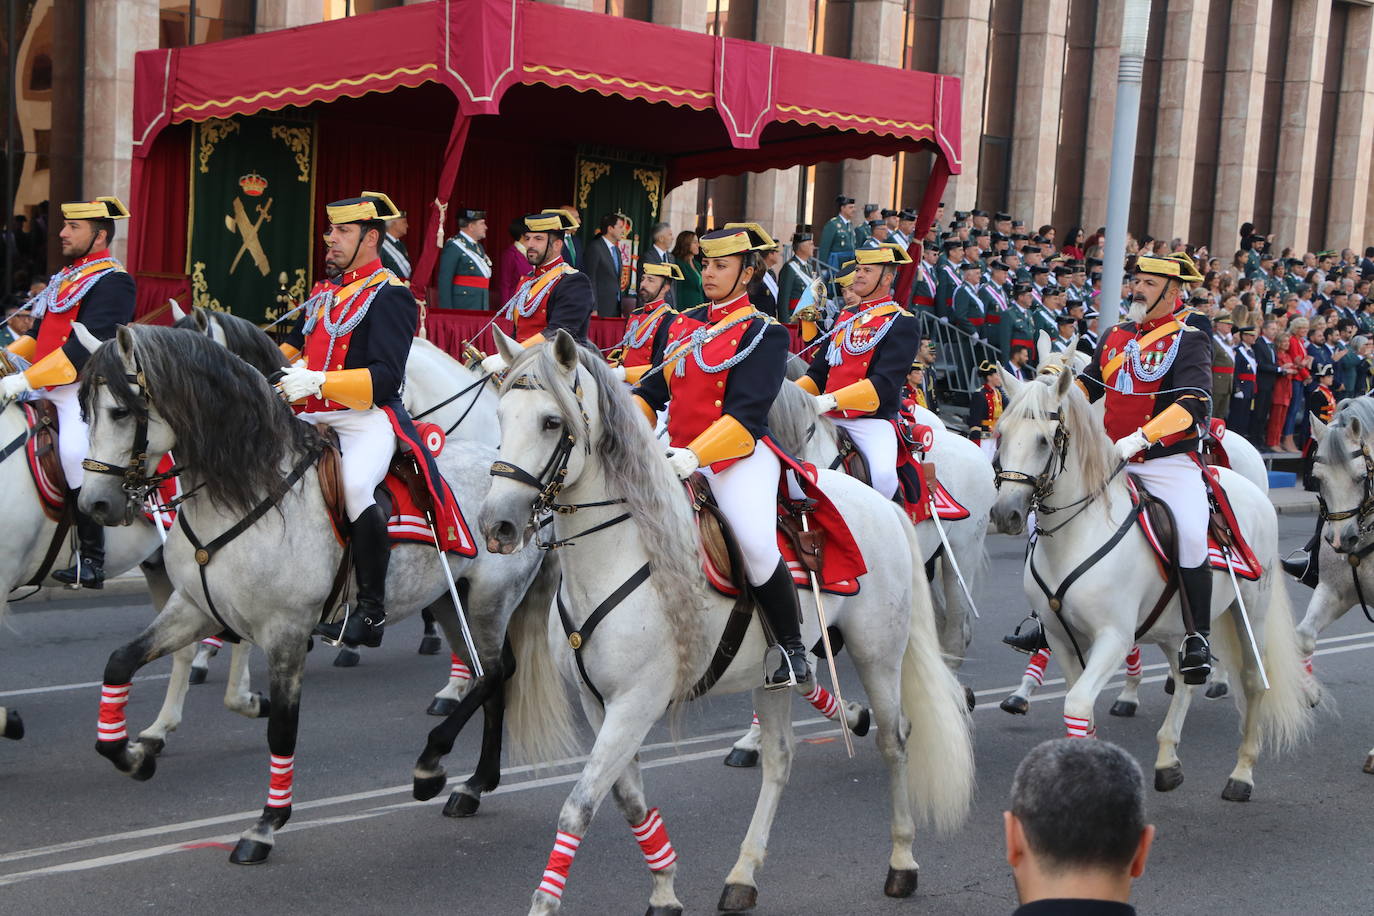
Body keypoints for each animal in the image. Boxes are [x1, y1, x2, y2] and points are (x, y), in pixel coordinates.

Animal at [77, 324, 544, 867]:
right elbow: (119, 662)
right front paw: (132, 753)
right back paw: (473, 783)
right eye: (84, 411)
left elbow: (282, 728)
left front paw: (266, 824)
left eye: (120, 411)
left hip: (489, 600)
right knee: (490, 676)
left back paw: (435, 765)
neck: (243, 489)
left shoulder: (285, 631)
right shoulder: (193, 609)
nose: (95, 504)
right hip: (452, 602)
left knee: (495, 673)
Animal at [472, 335, 978, 916]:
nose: (496, 525)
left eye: (552, 422)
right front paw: (665, 886)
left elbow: (579, 805)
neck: (621, 552)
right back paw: (743, 873)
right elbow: (627, 799)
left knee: (895, 741)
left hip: (879, 653)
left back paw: (902, 862)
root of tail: (880, 503)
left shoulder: (636, 701)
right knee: (780, 758)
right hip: (773, 671)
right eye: (500, 415)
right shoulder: (597, 702)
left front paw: (547, 902)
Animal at [989, 365, 1308, 802]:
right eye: (1001, 433)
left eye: (1044, 439)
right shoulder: (1060, 637)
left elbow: (1077, 704)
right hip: (1177, 627)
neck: (1078, 533)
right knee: (1187, 676)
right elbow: (1080, 708)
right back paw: (1167, 760)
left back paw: (1241, 775)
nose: (1006, 514)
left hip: (1251, 615)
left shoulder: (1114, 637)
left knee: (1253, 682)